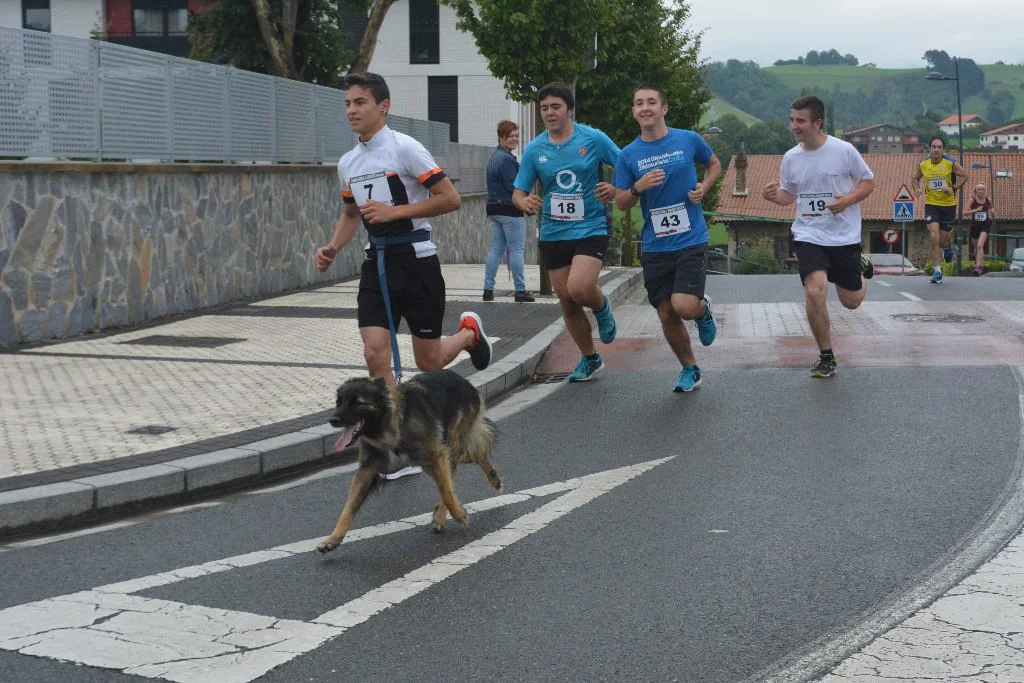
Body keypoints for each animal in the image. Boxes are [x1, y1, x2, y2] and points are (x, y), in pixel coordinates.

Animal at [317, 370, 502, 553]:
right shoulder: (367, 469)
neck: (391, 423)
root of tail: (462, 379)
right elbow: (348, 506)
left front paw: (458, 514)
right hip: (429, 461)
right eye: (339, 402)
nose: (333, 420)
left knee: (454, 475)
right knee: (475, 457)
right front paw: (333, 539)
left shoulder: (437, 454)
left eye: (358, 402)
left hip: (449, 447)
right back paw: (493, 478)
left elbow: (446, 491)